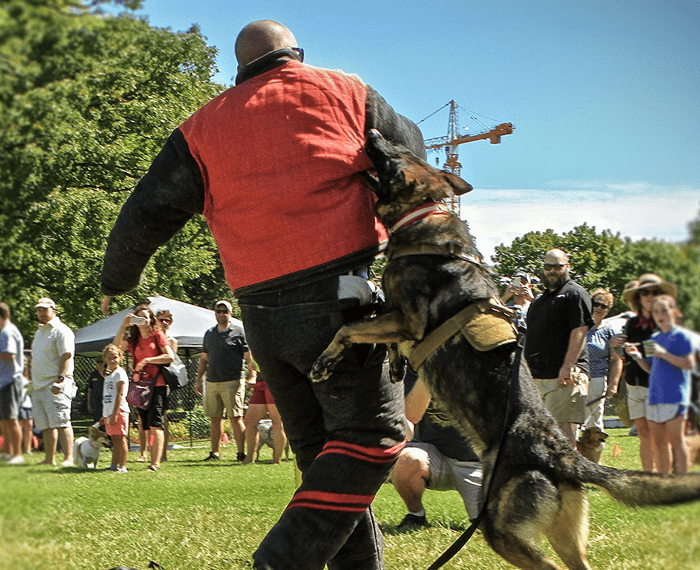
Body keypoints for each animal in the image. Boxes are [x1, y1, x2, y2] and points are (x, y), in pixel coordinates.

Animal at [310, 130, 700, 568]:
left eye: (395, 156)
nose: (372, 133)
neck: (421, 217)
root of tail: (563, 454)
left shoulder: (404, 318)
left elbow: (350, 327)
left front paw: (325, 361)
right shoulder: (396, 320)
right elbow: (377, 332)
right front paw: (393, 366)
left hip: (500, 529)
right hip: (564, 536)